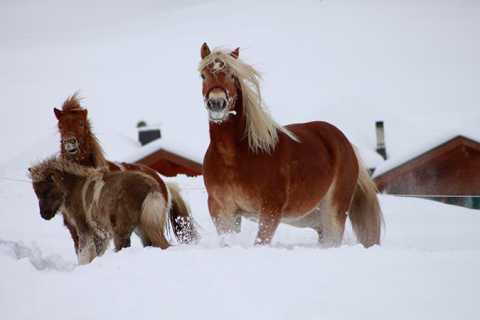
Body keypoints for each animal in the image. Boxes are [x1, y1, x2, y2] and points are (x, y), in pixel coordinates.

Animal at [29, 156, 188, 264]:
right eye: (36, 193)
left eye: (47, 191)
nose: (44, 215)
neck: (76, 187)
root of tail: (152, 186)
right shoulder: (100, 235)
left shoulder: (84, 229)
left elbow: (85, 254)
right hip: (142, 228)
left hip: (122, 230)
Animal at [198, 43, 382, 248]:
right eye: (203, 75)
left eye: (232, 75)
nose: (216, 103)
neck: (234, 156)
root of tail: (345, 142)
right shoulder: (222, 211)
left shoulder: (270, 210)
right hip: (310, 217)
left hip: (333, 212)